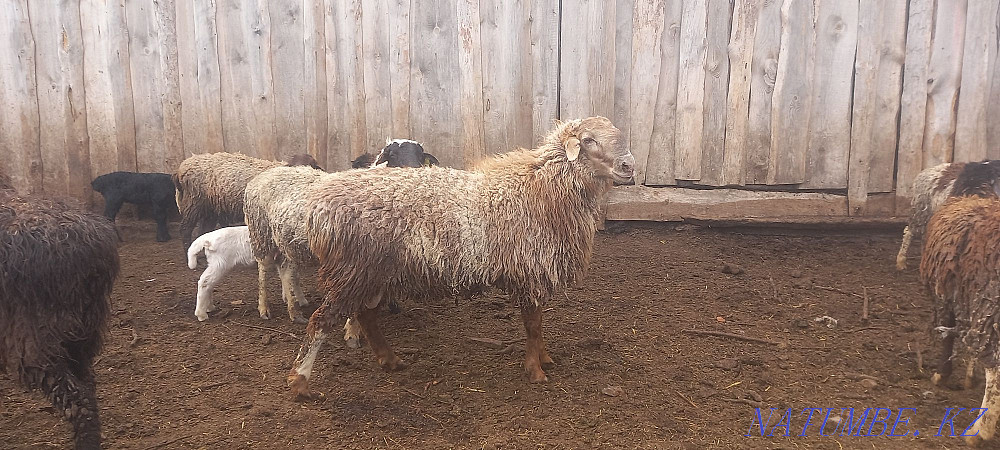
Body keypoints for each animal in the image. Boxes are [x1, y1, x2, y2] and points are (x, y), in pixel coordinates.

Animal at [172, 152, 321, 250]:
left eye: (311, 165)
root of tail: (180, 170)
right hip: (193, 203)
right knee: (185, 229)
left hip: (210, 208)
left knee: (204, 229)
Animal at [285, 116, 636, 399]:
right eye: (588, 140)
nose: (629, 167)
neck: (541, 186)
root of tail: (319, 206)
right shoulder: (529, 268)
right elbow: (533, 325)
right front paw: (535, 371)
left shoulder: (534, 271)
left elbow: (538, 324)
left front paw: (545, 358)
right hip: (354, 269)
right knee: (321, 321)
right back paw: (301, 383)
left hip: (374, 272)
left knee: (367, 315)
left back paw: (390, 360)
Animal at [920, 161, 1000, 445]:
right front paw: (968, 378)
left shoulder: (947, 292)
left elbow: (947, 334)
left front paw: (941, 374)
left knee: (996, 369)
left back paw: (979, 431)